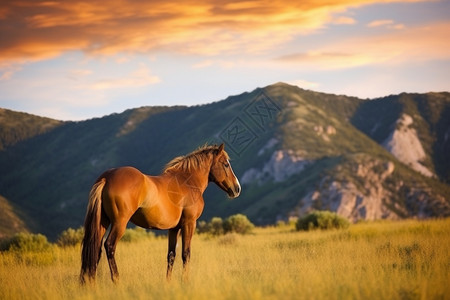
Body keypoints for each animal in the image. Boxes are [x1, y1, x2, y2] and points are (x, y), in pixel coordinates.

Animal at [79, 144, 241, 284]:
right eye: (226, 164)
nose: (237, 189)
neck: (187, 181)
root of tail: (106, 178)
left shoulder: (174, 228)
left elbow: (171, 255)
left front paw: (168, 282)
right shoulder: (189, 224)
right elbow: (186, 254)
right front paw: (185, 281)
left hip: (103, 223)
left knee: (95, 249)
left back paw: (91, 283)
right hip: (120, 223)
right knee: (109, 246)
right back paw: (117, 281)